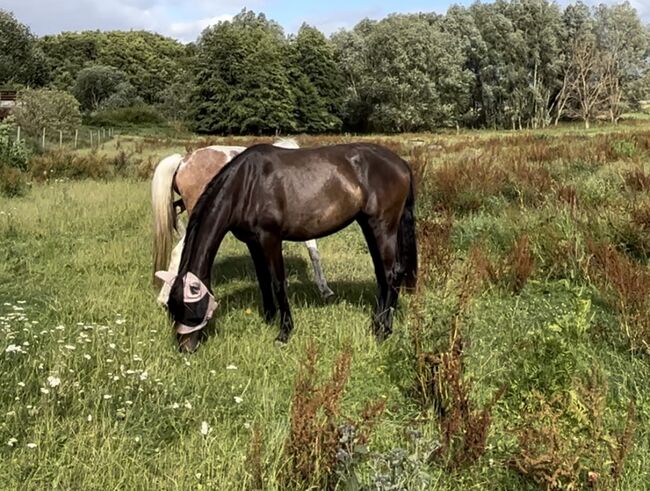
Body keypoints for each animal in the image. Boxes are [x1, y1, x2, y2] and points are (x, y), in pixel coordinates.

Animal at [152, 138, 334, 306]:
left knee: (175, 214)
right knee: (178, 250)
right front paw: (325, 290)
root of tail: (183, 161)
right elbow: (313, 252)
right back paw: (165, 298)